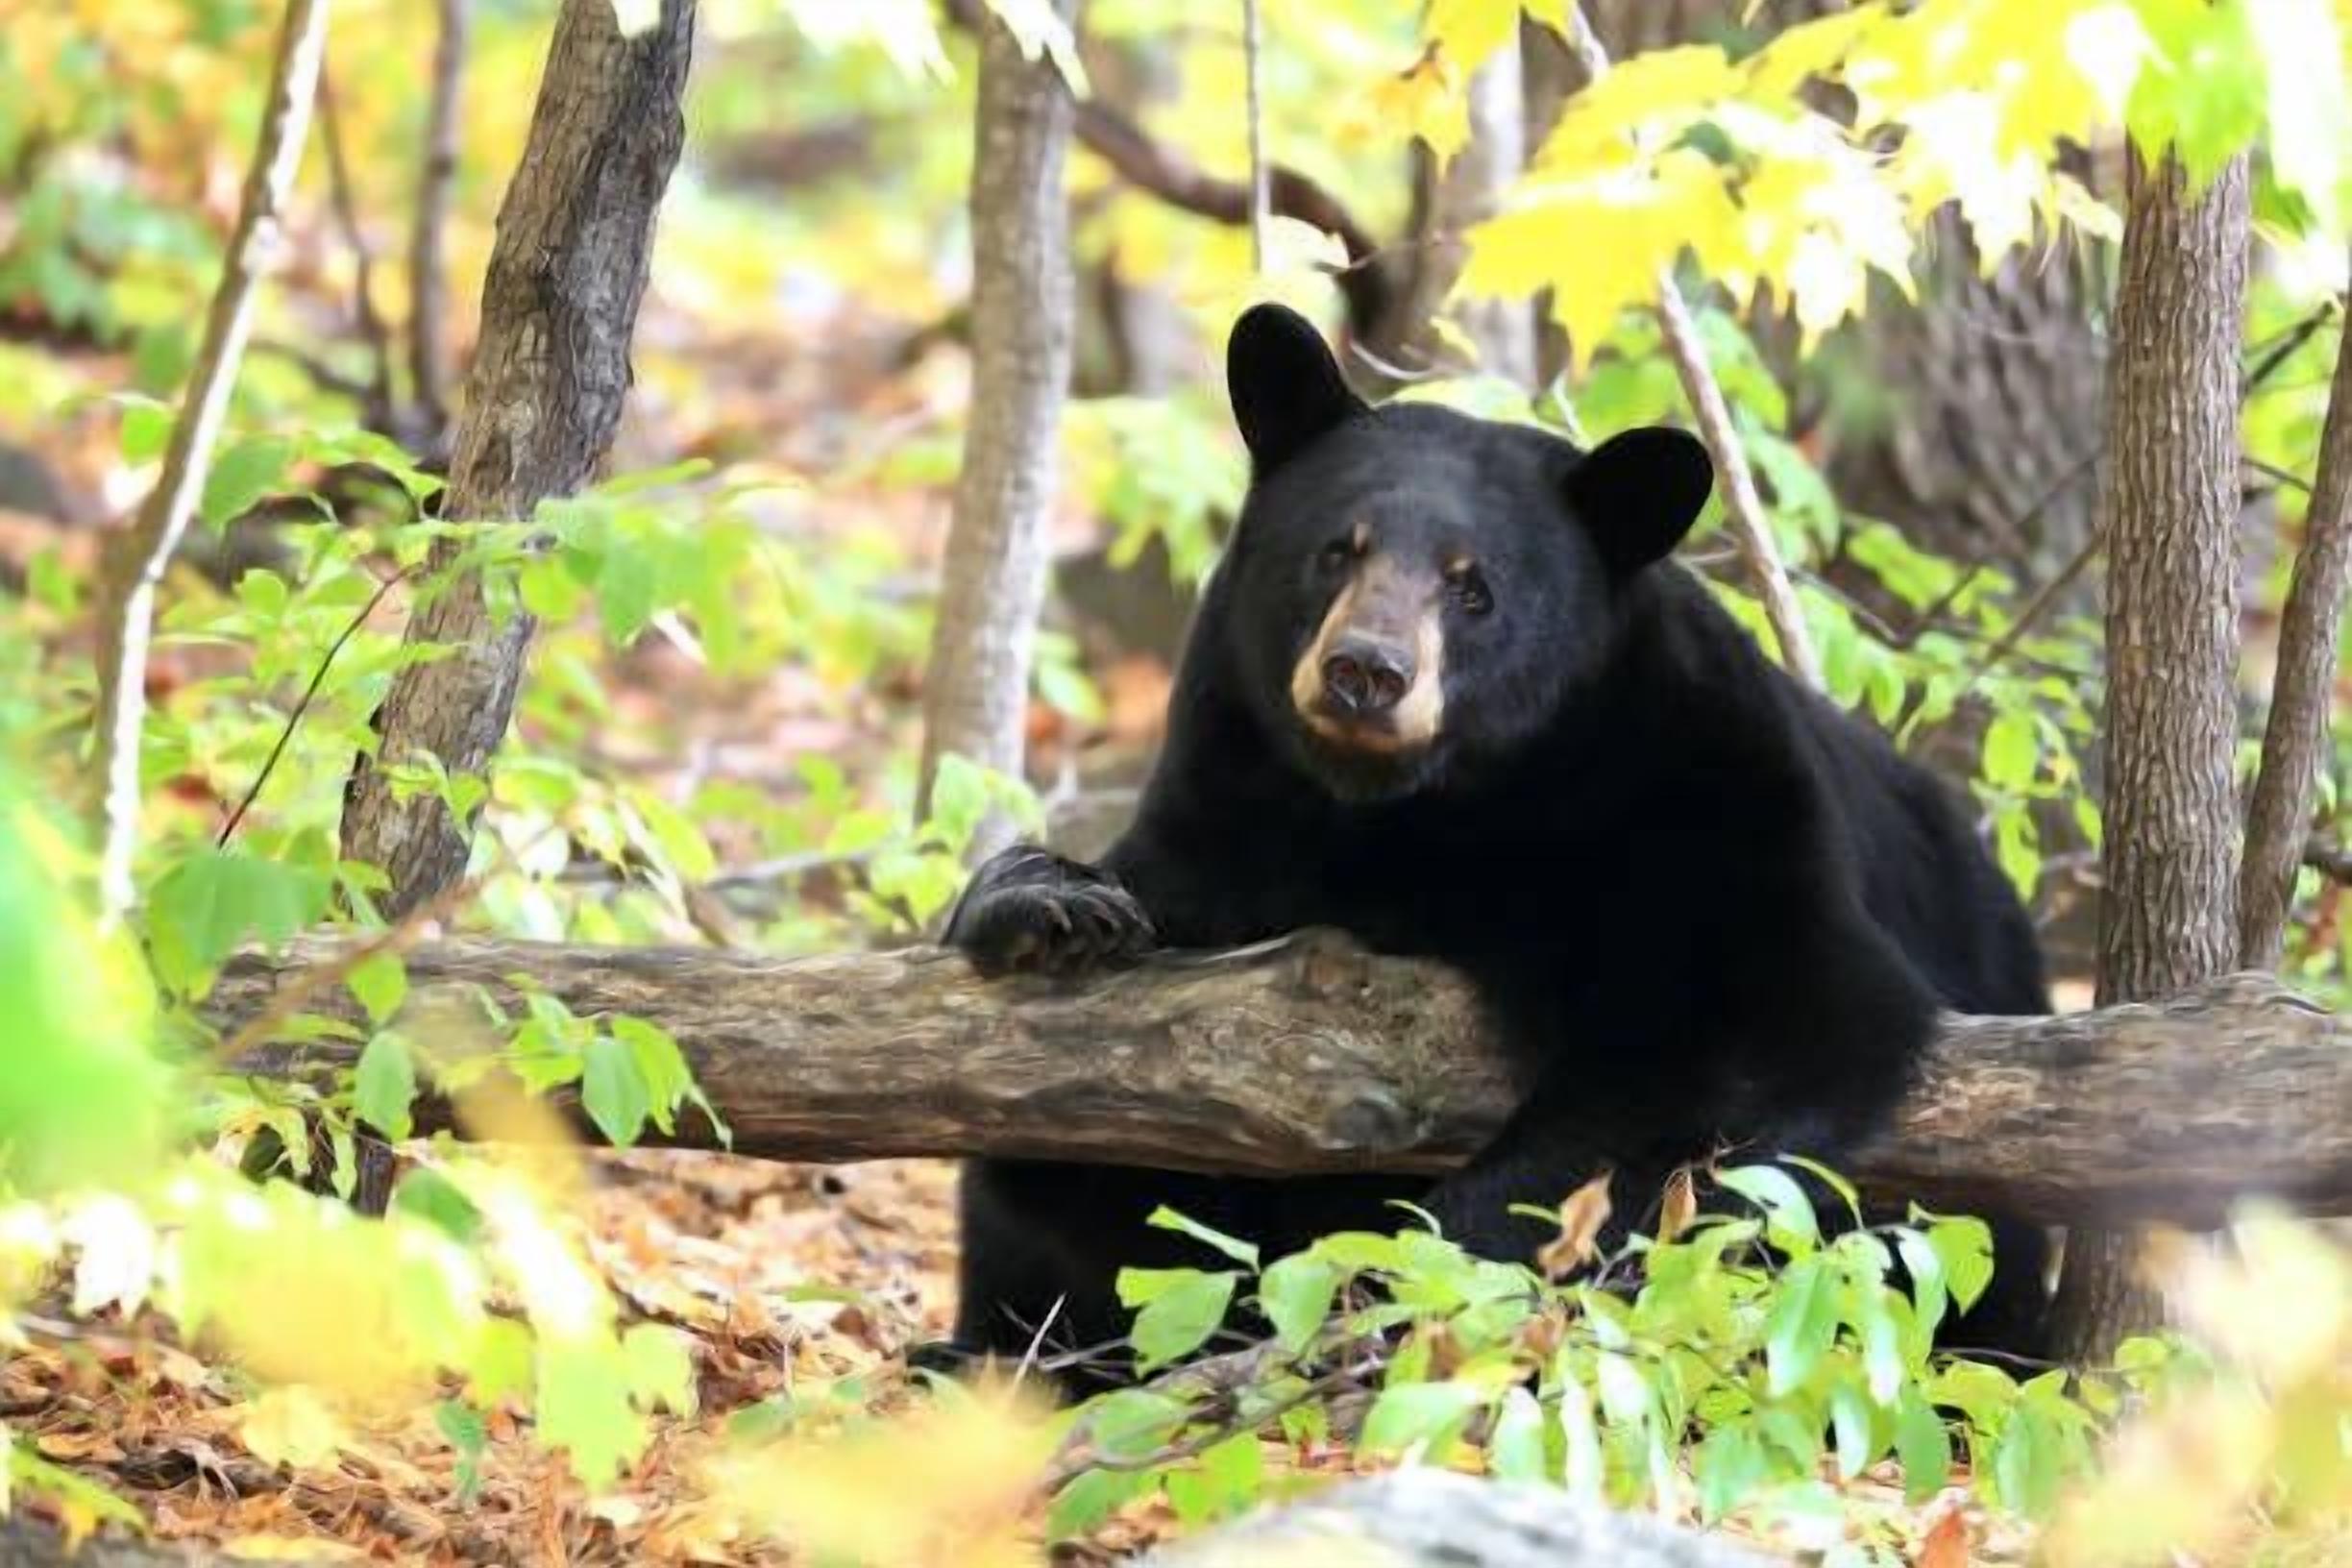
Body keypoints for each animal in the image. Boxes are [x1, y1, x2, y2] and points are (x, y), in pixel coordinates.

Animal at [930, 303, 2053, 1387]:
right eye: (1337, 549)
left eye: (1473, 588)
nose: (1366, 671)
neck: (1418, 817)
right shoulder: (1233, 810)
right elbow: (1116, 1156)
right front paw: (1049, 907)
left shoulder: (1706, 798)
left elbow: (1751, 1024)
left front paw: (1413, 1270)